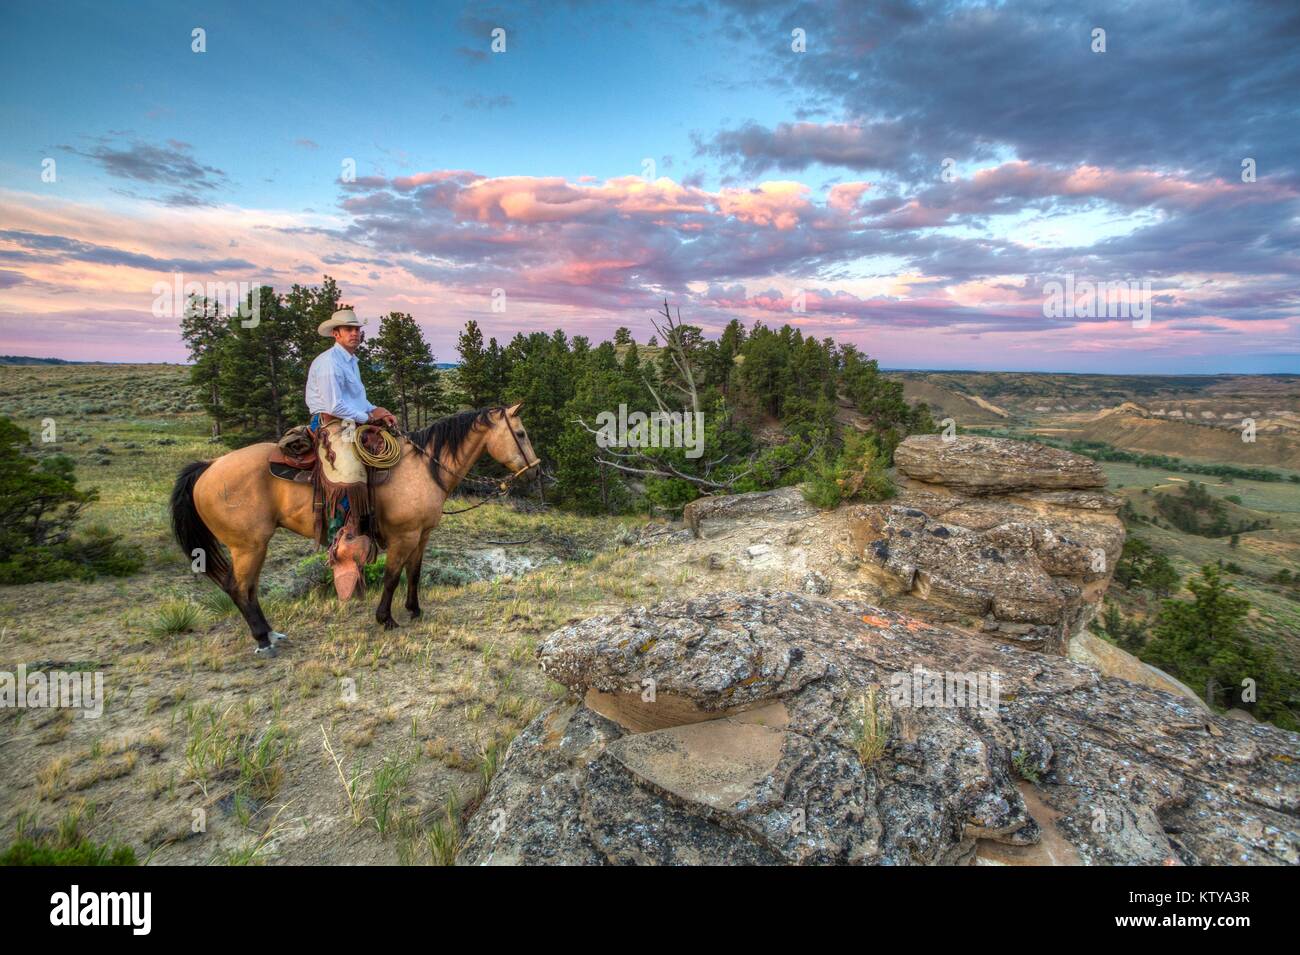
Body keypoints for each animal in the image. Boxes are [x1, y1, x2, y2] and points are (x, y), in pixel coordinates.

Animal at [169, 402, 538, 657]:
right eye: (520, 434)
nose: (535, 471)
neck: (424, 468)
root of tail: (209, 466)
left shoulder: (422, 534)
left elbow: (415, 573)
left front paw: (415, 610)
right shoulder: (404, 535)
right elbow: (391, 576)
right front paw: (386, 619)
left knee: (246, 589)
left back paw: (271, 634)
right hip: (249, 545)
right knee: (239, 588)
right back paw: (263, 638)